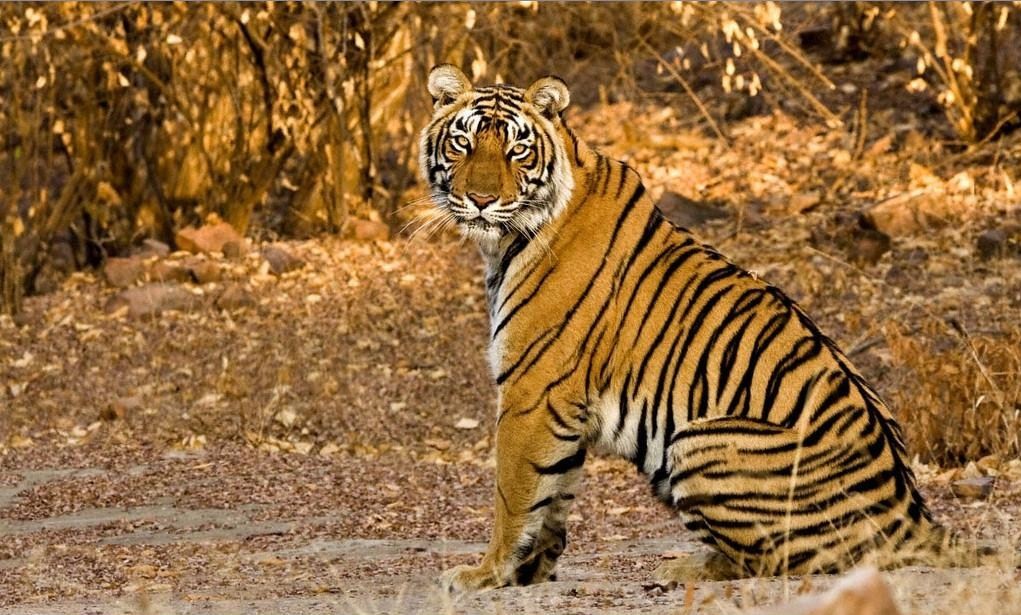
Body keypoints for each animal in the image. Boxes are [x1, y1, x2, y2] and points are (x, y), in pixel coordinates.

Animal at [418, 64, 987, 593]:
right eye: (463, 142)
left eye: (518, 151)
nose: (482, 200)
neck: (505, 242)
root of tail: (914, 515)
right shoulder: (559, 405)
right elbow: (553, 495)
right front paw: (529, 571)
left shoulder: (531, 392)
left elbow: (513, 494)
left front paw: (485, 573)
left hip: (697, 441)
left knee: (785, 561)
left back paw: (685, 567)